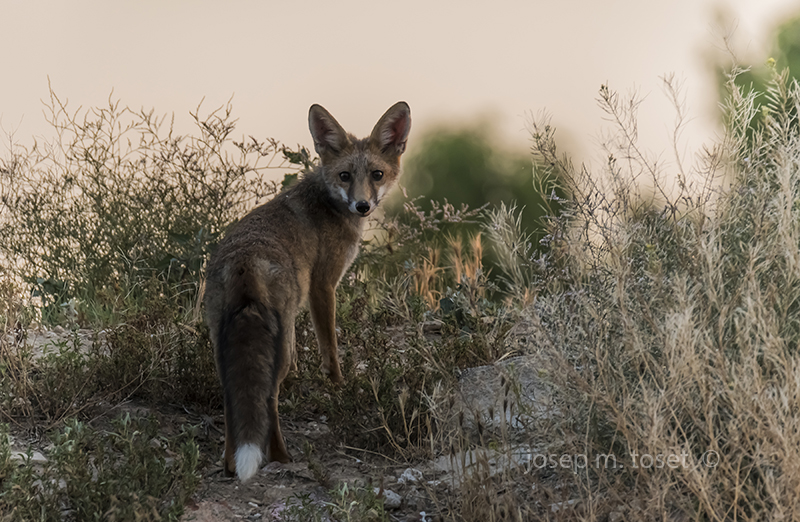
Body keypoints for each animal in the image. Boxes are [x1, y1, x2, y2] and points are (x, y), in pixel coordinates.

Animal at [203, 100, 412, 480]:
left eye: (376, 174)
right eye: (345, 176)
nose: (363, 206)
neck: (327, 202)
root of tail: (244, 262)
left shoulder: (296, 312)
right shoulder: (323, 286)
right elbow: (330, 350)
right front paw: (339, 387)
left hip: (228, 345)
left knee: (233, 401)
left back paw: (229, 464)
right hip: (276, 347)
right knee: (268, 400)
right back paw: (281, 457)